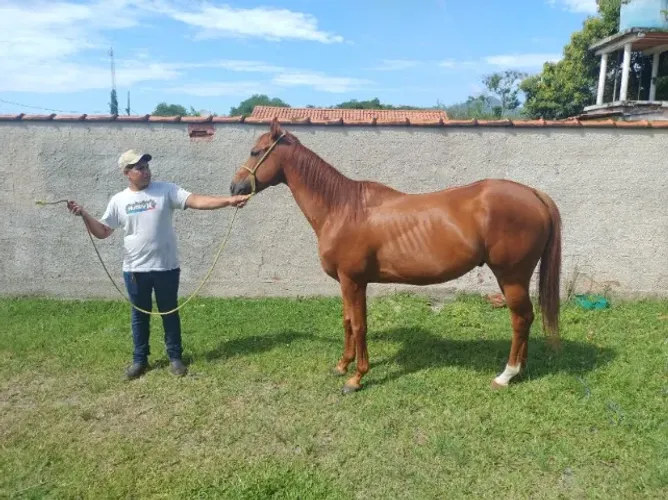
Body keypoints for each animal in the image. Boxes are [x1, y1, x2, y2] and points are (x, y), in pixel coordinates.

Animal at [230, 118, 562, 394]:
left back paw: (506, 374)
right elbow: (347, 321)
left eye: (255, 151)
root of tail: (534, 194)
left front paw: (356, 378)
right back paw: (521, 369)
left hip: (511, 276)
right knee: (526, 319)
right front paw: (342, 365)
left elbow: (360, 325)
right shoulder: (347, 283)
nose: (235, 187)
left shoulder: (353, 281)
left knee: (521, 318)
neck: (343, 209)